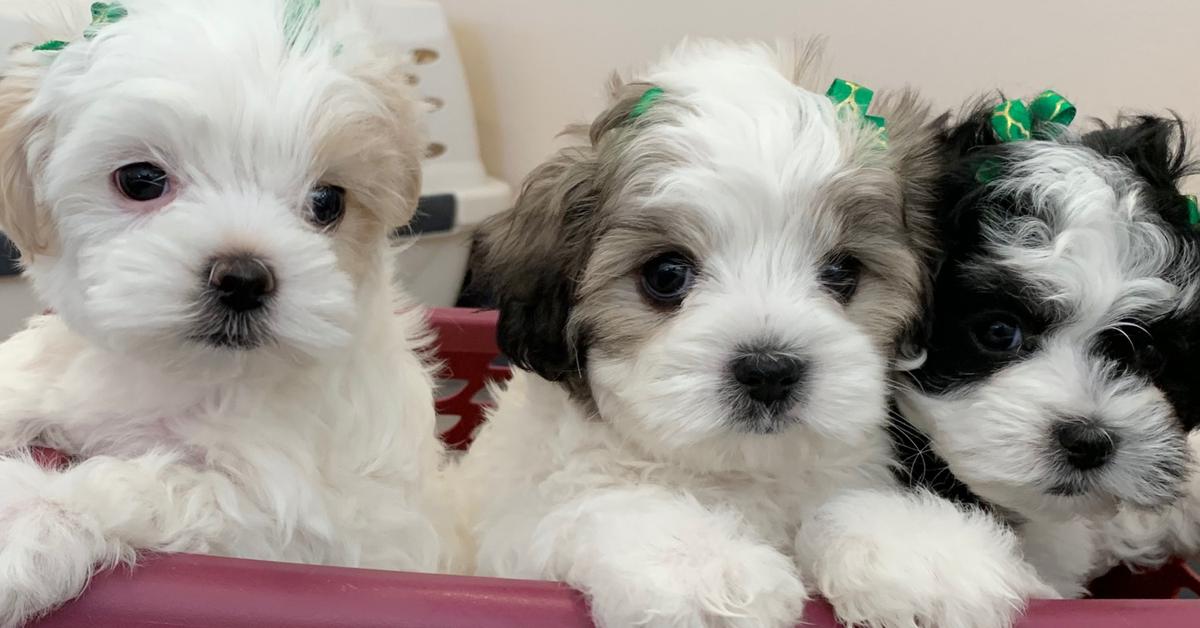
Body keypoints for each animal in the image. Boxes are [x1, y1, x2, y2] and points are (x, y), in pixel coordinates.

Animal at [0, 0, 453, 624]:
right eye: (141, 179)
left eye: (328, 202)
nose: (243, 278)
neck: (193, 376)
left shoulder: (290, 523)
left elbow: (150, 483)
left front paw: (24, 514)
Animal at [451, 40, 1051, 628]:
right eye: (665, 275)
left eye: (843, 271)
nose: (769, 370)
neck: (743, 469)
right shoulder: (526, 527)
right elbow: (607, 504)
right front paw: (702, 565)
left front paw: (921, 554)